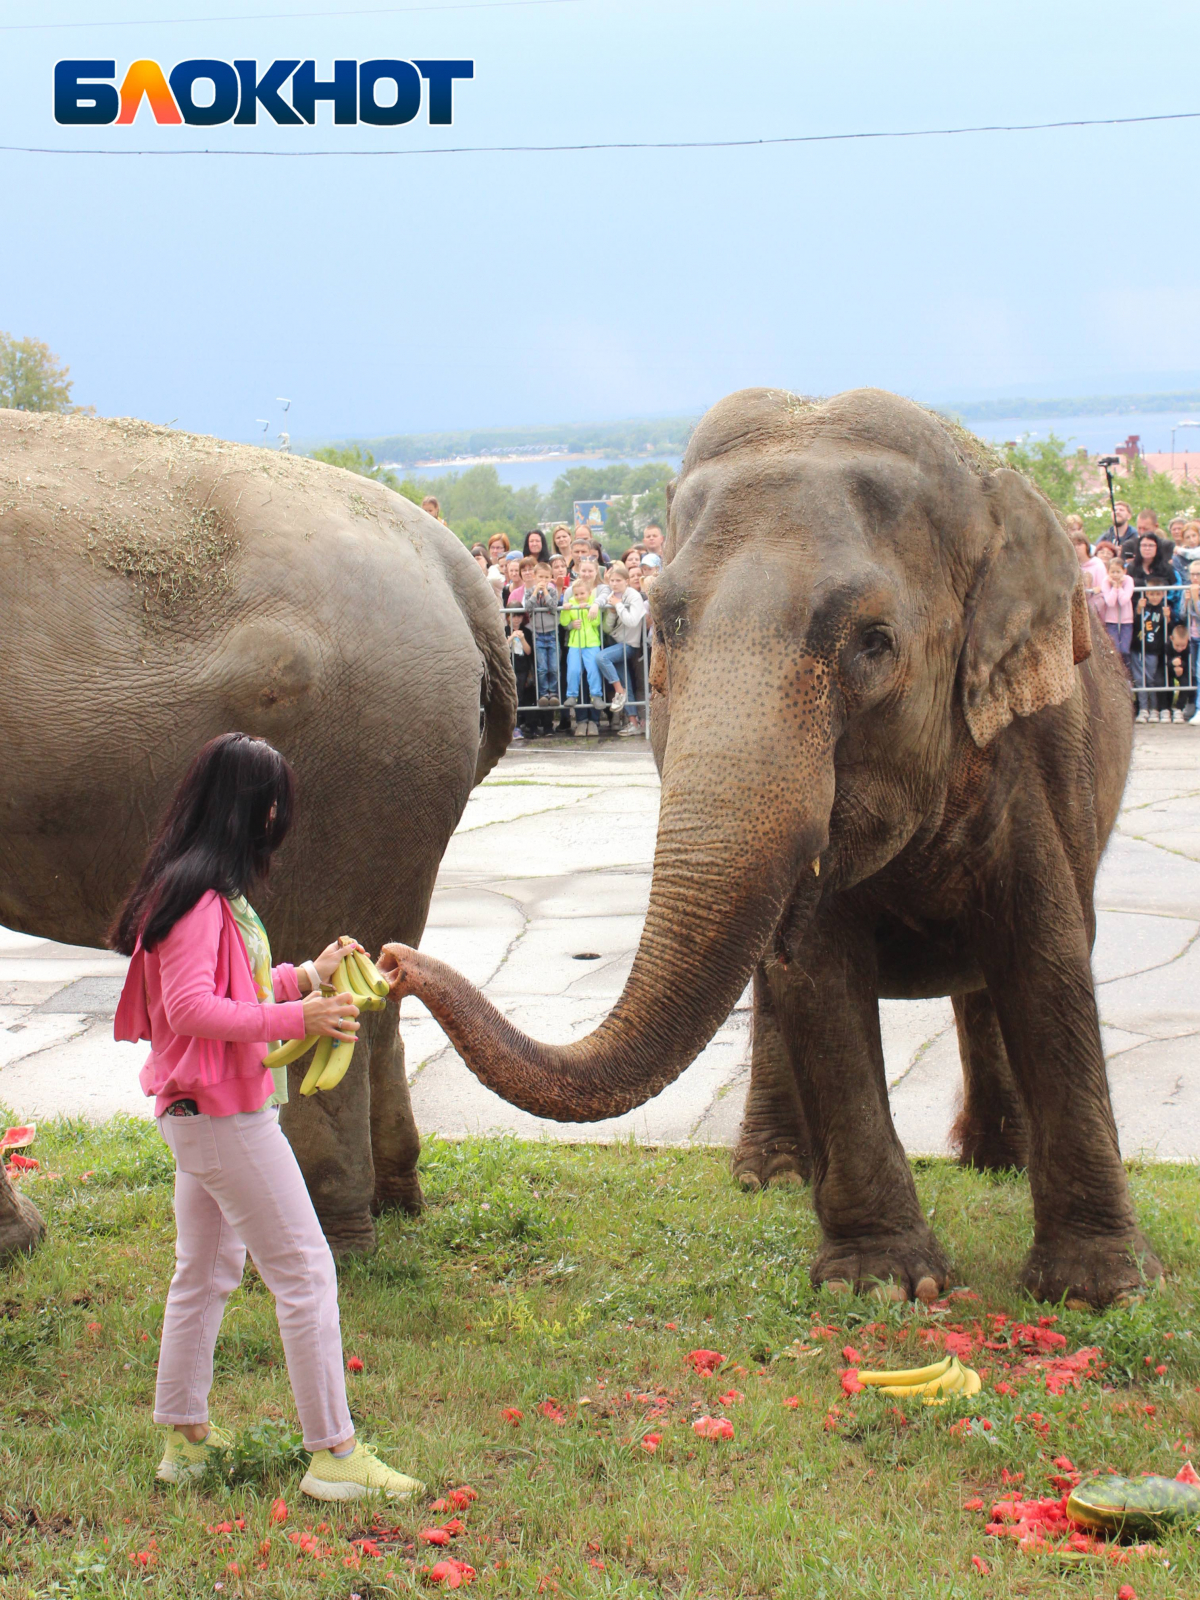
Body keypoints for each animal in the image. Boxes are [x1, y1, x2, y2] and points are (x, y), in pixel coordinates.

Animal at [377, 380, 1164, 1305]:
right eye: (664, 630)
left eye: (873, 644)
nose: (389, 960)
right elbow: (819, 976)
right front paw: (879, 1283)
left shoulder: (1037, 753)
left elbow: (1047, 960)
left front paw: (1102, 1290)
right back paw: (775, 1173)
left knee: (983, 985)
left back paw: (993, 1163)